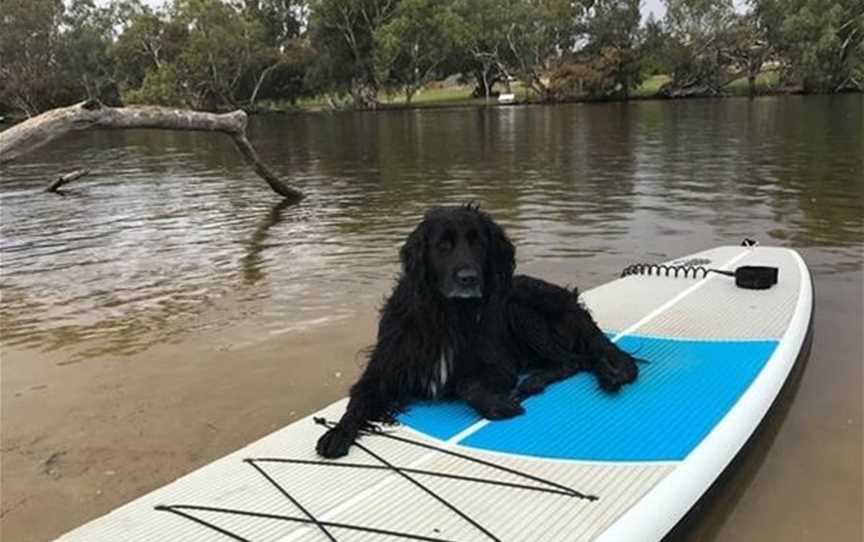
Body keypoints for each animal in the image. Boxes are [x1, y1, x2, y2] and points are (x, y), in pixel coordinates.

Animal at [316, 205, 636, 460]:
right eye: (443, 245)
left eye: (478, 243)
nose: (468, 278)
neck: (447, 314)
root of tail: (571, 301)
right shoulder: (385, 368)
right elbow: (358, 400)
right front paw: (338, 434)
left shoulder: (499, 366)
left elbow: (465, 384)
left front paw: (497, 405)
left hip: (520, 309)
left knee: (577, 359)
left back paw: (552, 380)